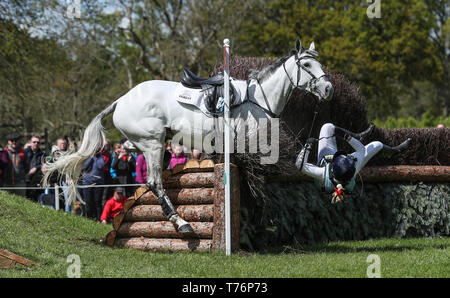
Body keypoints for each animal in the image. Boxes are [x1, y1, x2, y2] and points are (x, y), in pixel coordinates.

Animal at [44, 38, 334, 235]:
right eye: (307, 64)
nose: (329, 89)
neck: (259, 100)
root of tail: (121, 100)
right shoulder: (250, 150)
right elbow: (258, 183)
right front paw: (260, 218)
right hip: (153, 143)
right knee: (154, 182)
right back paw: (181, 223)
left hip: (153, 145)